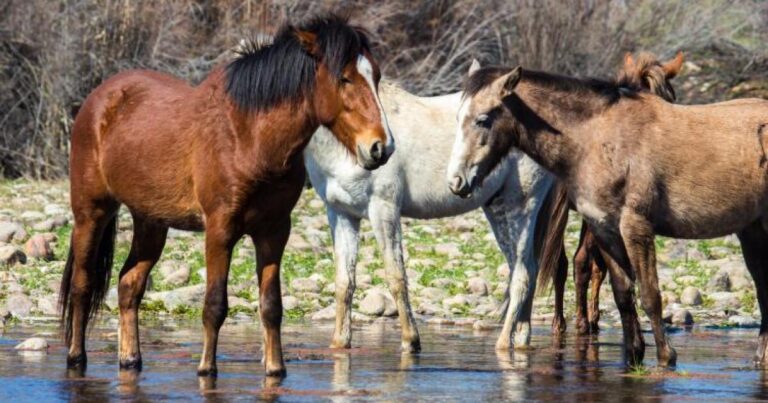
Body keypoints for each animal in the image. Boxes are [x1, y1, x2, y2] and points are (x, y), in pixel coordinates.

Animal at [59, 14, 393, 378]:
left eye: (375, 76)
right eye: (344, 78)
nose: (381, 147)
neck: (248, 136)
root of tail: (97, 100)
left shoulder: (274, 231)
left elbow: (271, 305)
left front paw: (275, 369)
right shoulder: (220, 230)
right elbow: (215, 304)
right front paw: (207, 368)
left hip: (150, 222)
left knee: (128, 284)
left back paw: (130, 359)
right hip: (91, 213)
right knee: (82, 284)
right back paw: (76, 357)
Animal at [305, 60, 558, 353]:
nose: (379, 150)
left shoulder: (383, 209)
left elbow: (395, 275)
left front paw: (410, 341)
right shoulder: (341, 214)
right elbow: (344, 282)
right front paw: (339, 343)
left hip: (522, 205)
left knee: (523, 274)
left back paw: (505, 344)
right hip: (497, 209)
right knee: (525, 268)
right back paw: (522, 340)